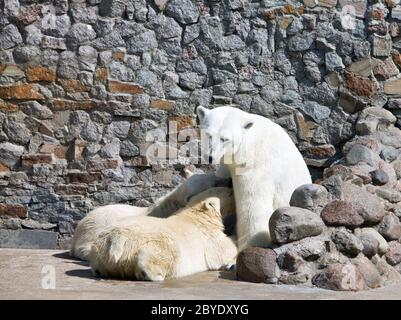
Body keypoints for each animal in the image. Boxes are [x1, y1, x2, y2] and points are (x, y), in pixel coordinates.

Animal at [88, 190, 236, 280]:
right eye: (229, 192)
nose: (231, 185)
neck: (197, 215)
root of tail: (117, 238)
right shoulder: (209, 237)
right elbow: (223, 252)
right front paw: (231, 262)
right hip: (154, 241)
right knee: (162, 254)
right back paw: (153, 274)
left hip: (100, 250)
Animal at [197, 105, 312, 250]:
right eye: (208, 135)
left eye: (225, 139)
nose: (210, 157)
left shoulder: (256, 166)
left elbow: (253, 205)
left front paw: (252, 243)